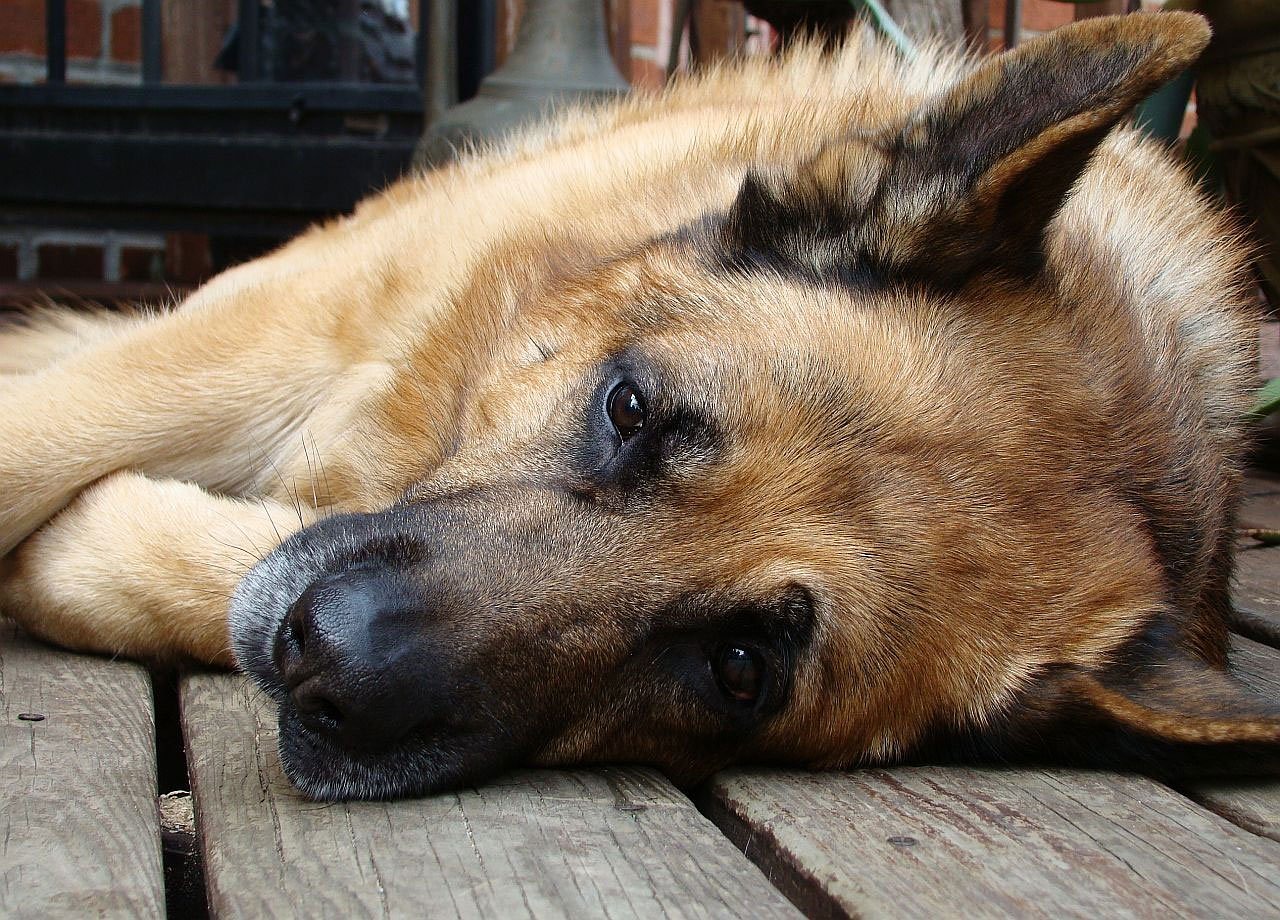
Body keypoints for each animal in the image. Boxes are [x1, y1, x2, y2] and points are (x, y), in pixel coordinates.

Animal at [2, 12, 1280, 798]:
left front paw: (90, 554)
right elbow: (40, 437)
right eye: (627, 407)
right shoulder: (285, 332)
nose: (328, 667)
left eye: (737, 667)